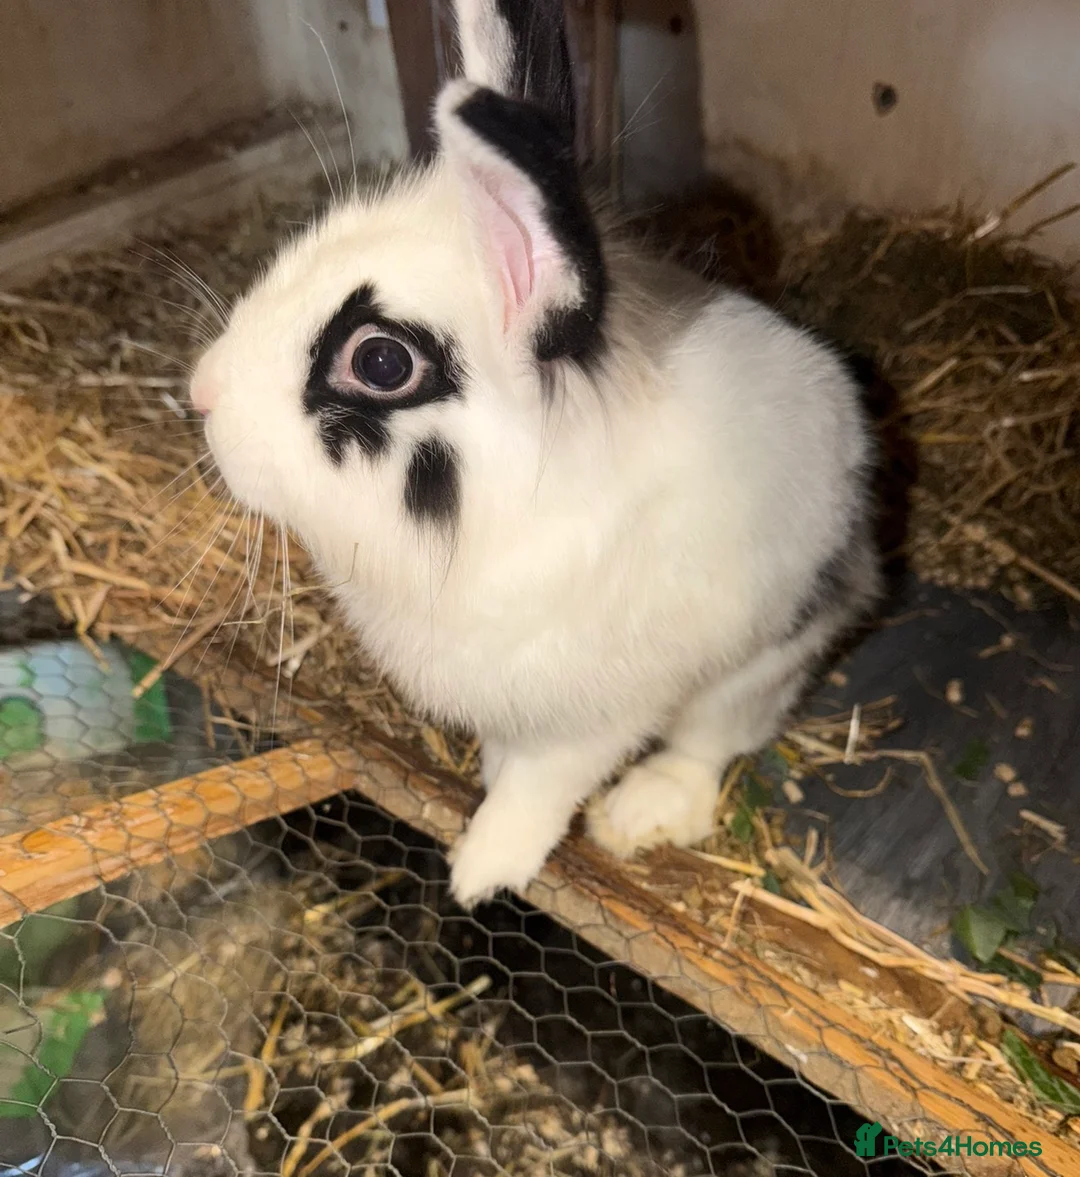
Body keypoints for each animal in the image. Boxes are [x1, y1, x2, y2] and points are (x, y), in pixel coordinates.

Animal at [189, 0, 882, 909]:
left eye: (381, 362)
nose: (200, 393)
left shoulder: (585, 718)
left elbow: (537, 788)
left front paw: (480, 869)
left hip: (764, 658)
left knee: (710, 742)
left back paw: (640, 813)